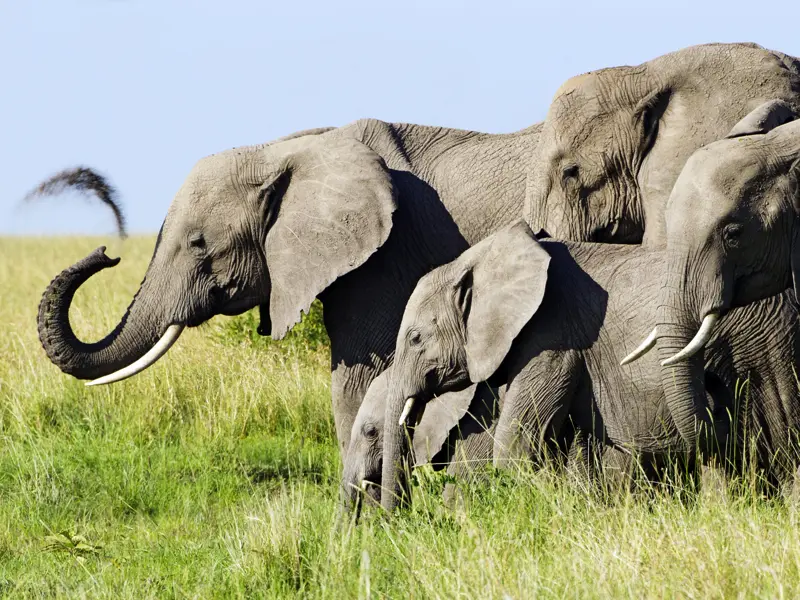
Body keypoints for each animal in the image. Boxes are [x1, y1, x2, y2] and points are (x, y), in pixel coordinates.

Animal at [378, 220, 800, 510]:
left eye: (415, 339)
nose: (396, 519)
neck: (479, 259)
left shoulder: (552, 337)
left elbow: (518, 445)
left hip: (760, 346)